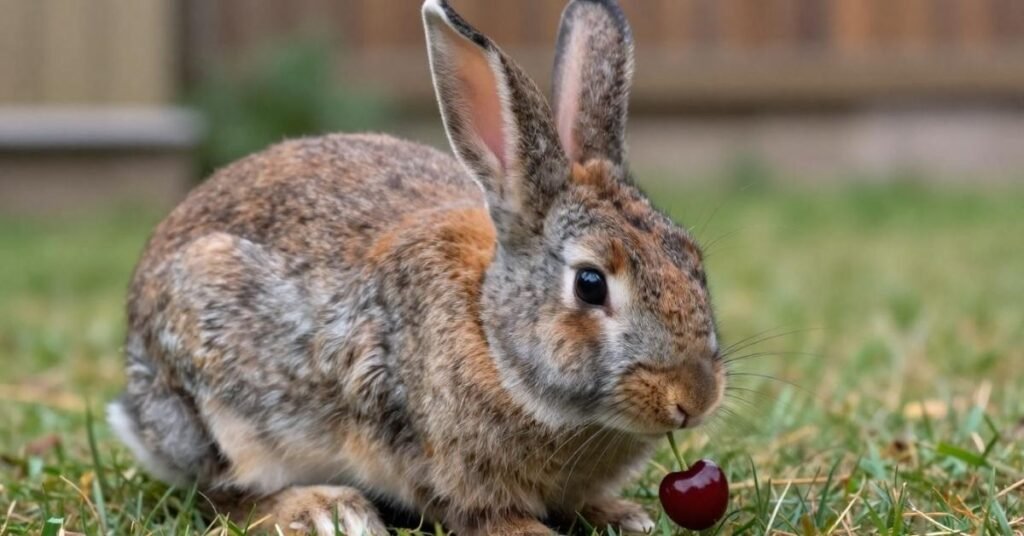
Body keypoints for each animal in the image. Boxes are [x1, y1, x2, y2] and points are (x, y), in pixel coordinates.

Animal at [107, 0, 724, 534]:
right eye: (590, 284)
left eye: (693, 260)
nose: (694, 399)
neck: (490, 333)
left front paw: (622, 514)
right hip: (221, 404)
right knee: (220, 494)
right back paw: (327, 511)